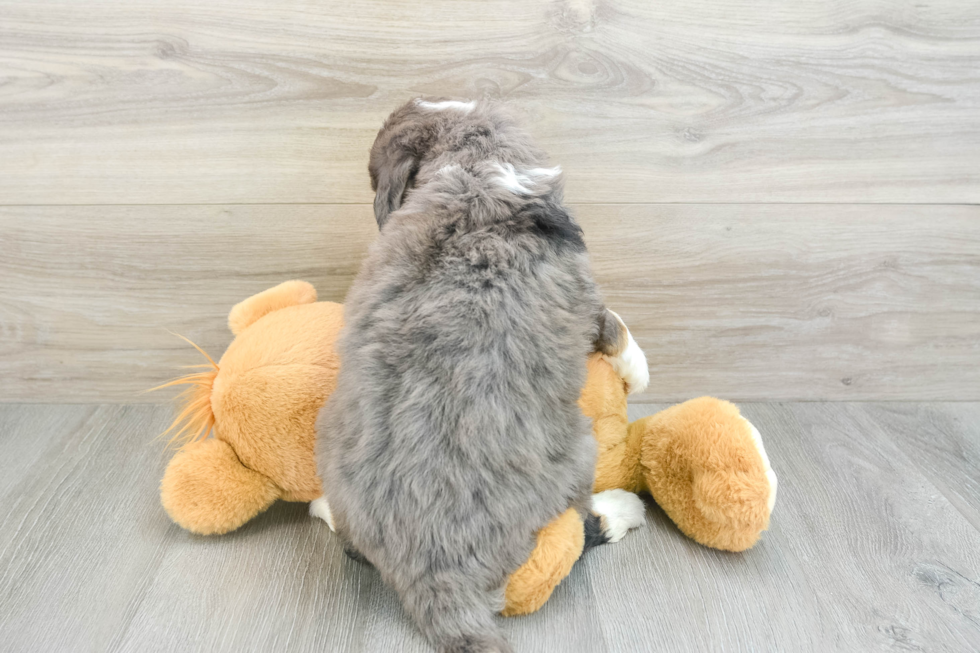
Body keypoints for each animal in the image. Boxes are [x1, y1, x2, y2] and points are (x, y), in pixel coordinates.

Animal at [318, 97, 648, 652]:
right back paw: (622, 509)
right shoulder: (585, 294)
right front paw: (638, 369)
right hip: (578, 453)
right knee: (580, 529)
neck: (472, 162)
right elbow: (614, 325)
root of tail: (433, 576)